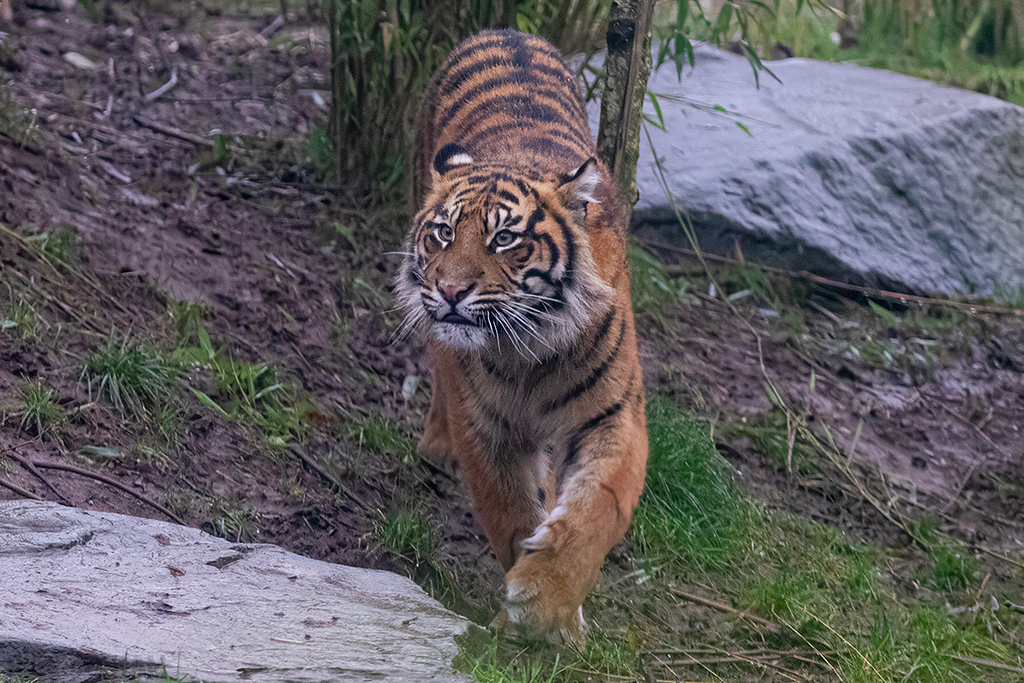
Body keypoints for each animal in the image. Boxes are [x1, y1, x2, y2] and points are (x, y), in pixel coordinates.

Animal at [396, 29, 648, 644]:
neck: (529, 347)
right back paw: (437, 447)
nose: (451, 289)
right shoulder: (489, 426)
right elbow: (511, 511)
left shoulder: (614, 416)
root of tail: (507, 31)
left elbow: (595, 512)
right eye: (444, 233)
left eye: (505, 239)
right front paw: (532, 616)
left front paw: (549, 607)